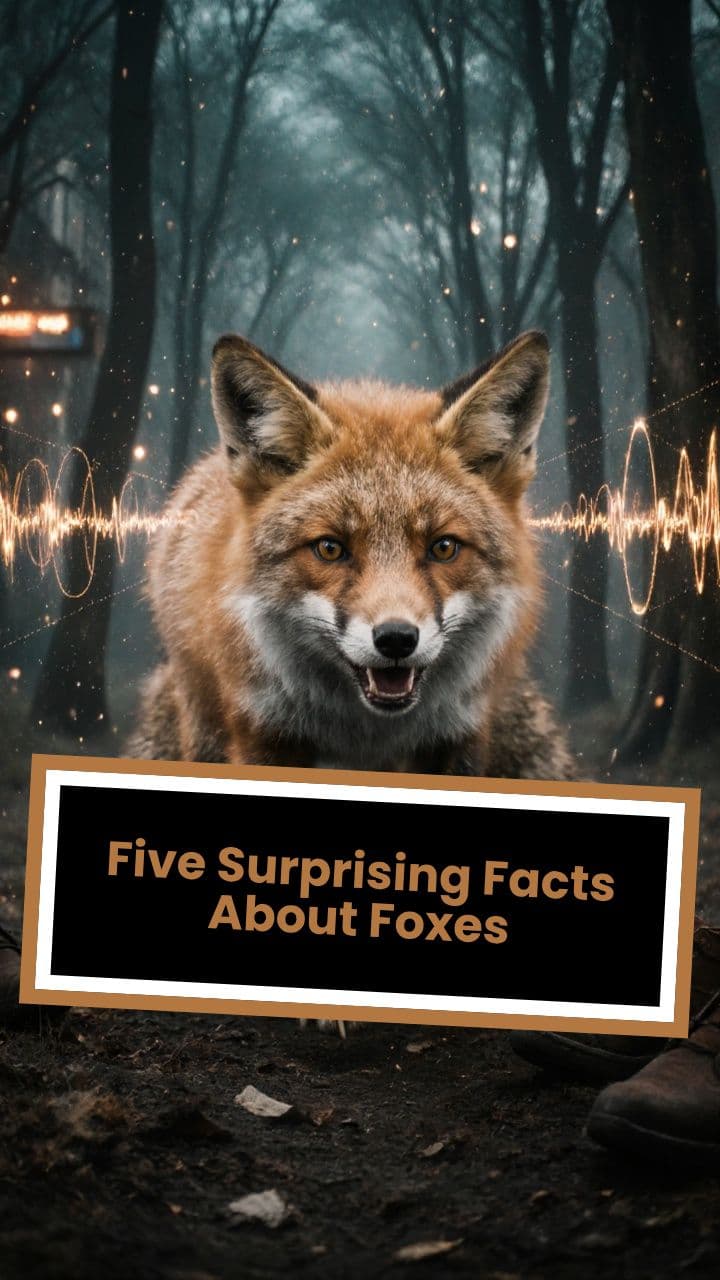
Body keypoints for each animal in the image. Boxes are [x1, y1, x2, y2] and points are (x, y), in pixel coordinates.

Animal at [129, 328, 572, 781]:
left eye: (444, 547)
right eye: (330, 548)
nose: (396, 639)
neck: (366, 735)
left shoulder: (458, 733)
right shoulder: (261, 729)